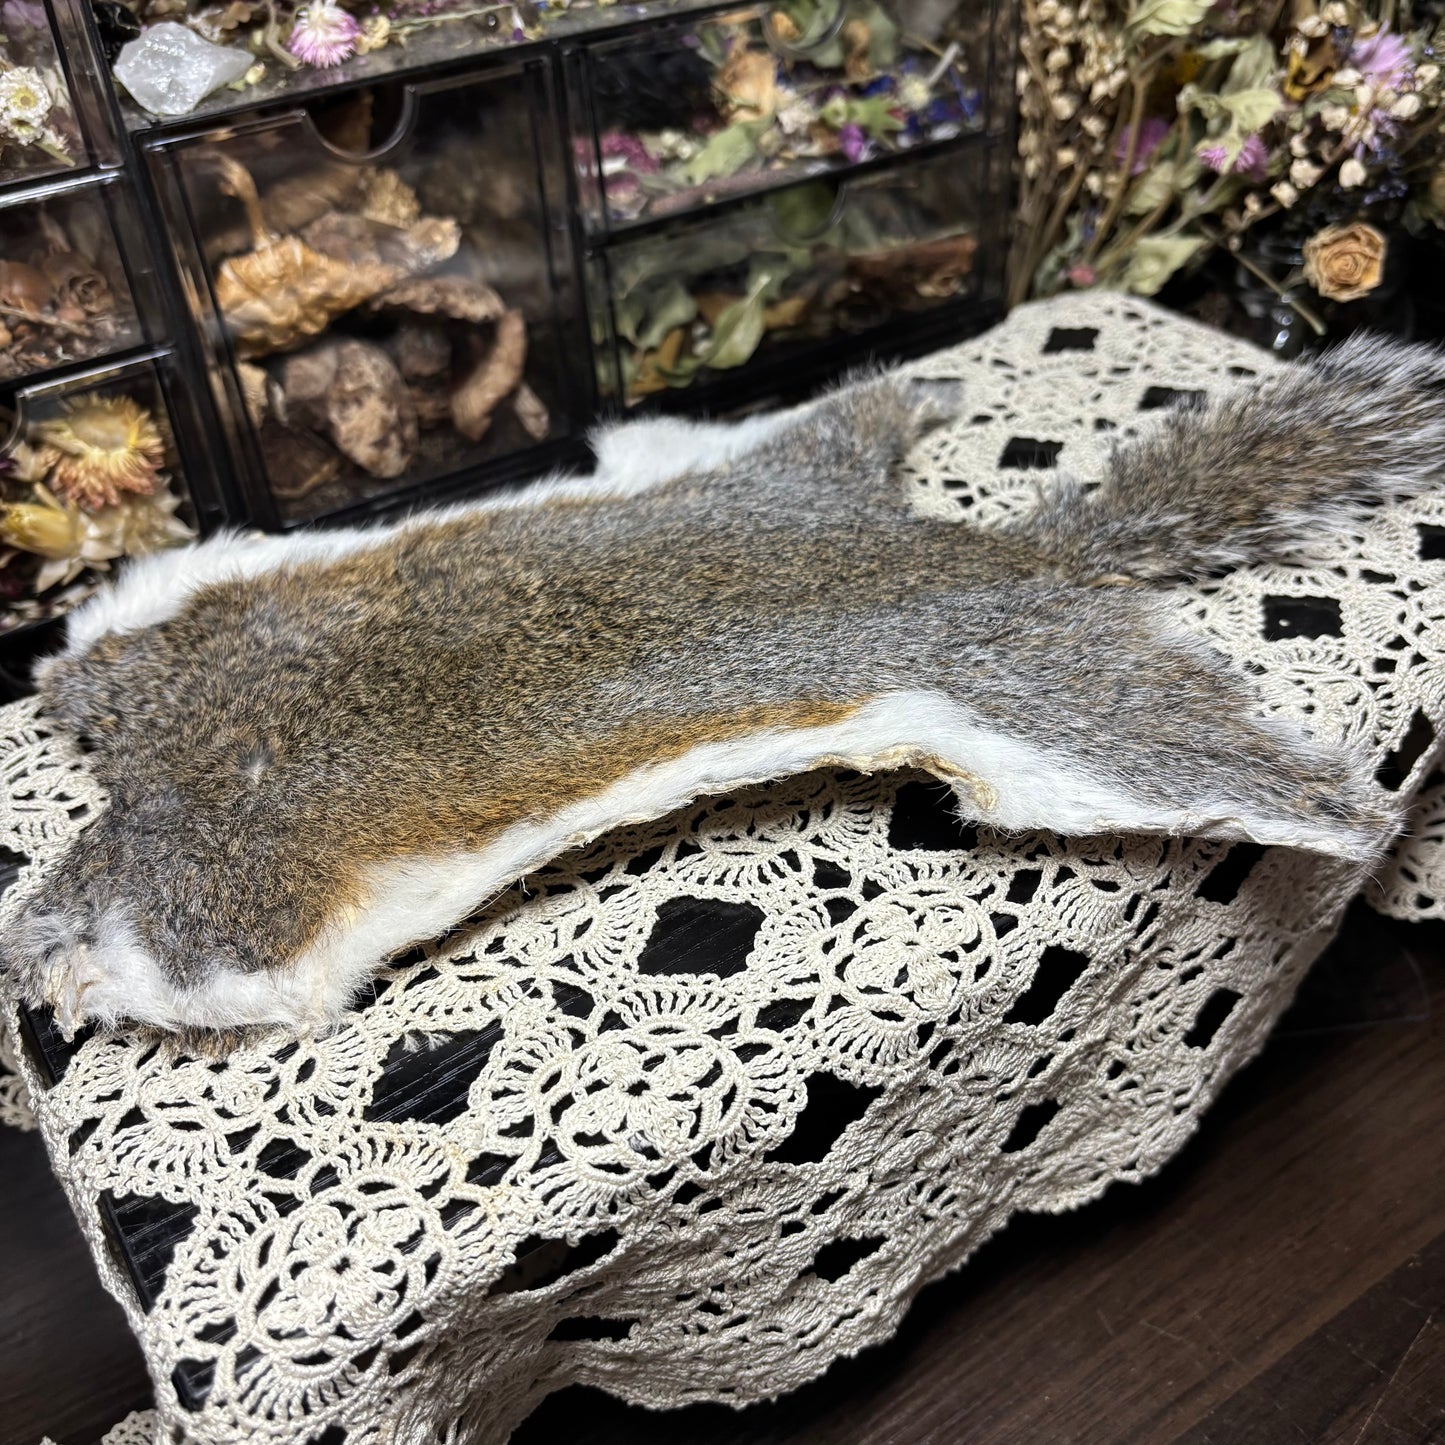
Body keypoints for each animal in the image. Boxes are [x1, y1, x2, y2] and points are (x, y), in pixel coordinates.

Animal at [6, 334, 1444, 1039]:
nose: (37, 964)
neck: (181, 781)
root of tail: (1010, 557)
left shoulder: (245, 905)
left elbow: (243, 983)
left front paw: (73, 983)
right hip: (793, 485)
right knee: (858, 412)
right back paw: (930, 383)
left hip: (1046, 717)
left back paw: (1354, 819)